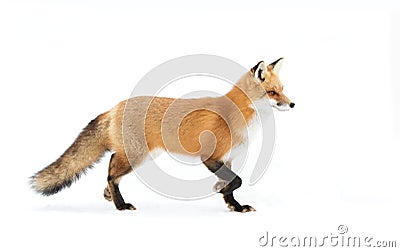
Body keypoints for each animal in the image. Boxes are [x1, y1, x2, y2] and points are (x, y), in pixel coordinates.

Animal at [30, 58, 294, 213]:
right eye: (272, 92)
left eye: (282, 90)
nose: (292, 104)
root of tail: (115, 107)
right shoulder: (210, 156)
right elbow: (235, 181)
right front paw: (221, 190)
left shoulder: (228, 159)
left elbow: (232, 185)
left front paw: (235, 206)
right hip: (136, 156)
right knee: (111, 171)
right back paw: (120, 204)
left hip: (142, 155)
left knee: (112, 169)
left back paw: (109, 197)